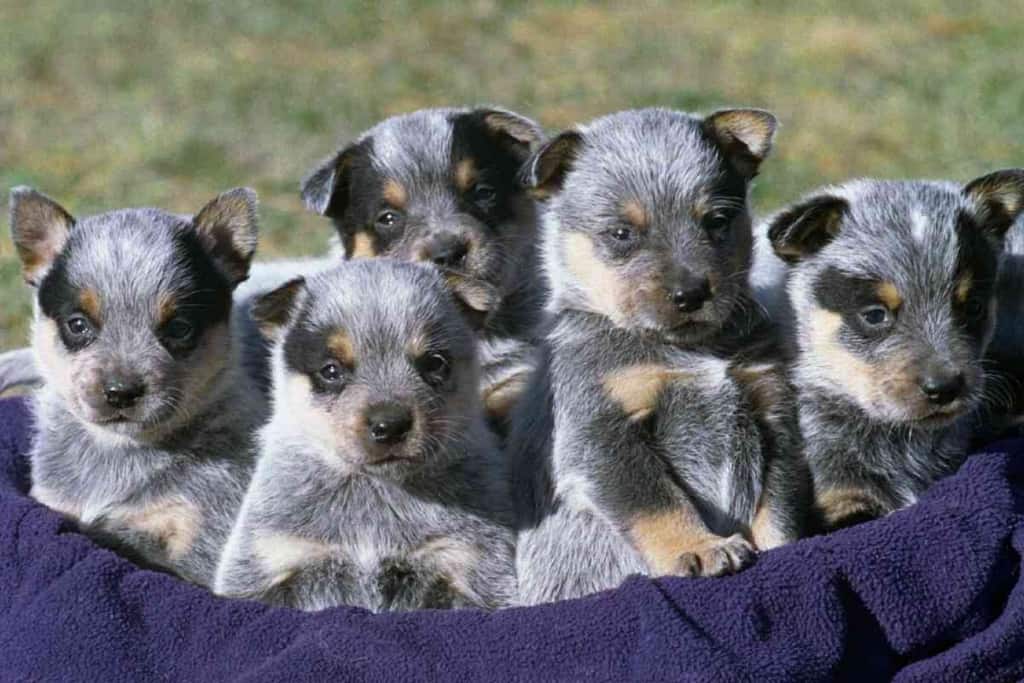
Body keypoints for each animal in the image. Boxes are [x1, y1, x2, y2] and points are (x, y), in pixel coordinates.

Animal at [10, 187, 266, 589]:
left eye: (179, 328)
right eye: (78, 324)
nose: (120, 392)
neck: (117, 452)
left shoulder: (198, 542)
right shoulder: (57, 502)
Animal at [217, 262, 520, 614]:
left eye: (435, 363)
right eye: (331, 370)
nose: (390, 425)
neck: (375, 489)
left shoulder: (469, 564)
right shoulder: (271, 558)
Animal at [512, 104, 806, 606]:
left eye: (716, 220)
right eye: (621, 233)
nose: (690, 293)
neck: (689, 351)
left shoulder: (770, 410)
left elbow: (778, 508)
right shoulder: (599, 432)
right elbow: (658, 503)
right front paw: (701, 548)